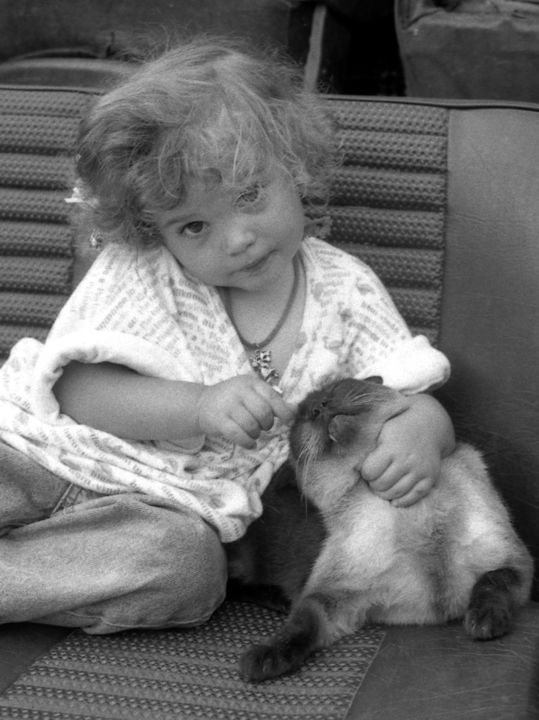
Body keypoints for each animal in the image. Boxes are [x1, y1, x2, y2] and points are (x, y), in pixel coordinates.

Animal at [227, 376, 532, 680]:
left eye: (334, 389)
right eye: (303, 416)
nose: (320, 406)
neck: (408, 511)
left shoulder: (514, 563)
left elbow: (492, 581)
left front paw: (484, 622)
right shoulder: (332, 596)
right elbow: (300, 625)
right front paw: (261, 661)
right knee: (232, 587)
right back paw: (277, 599)